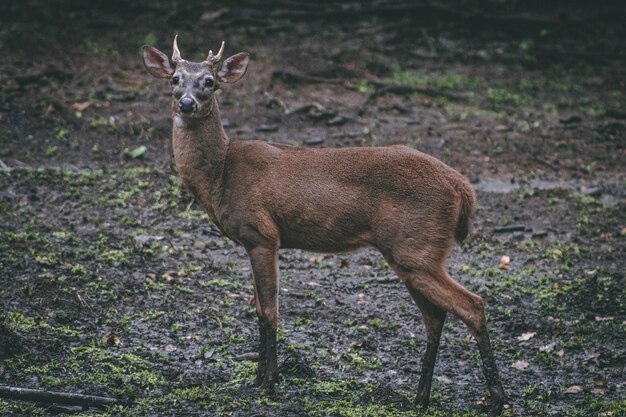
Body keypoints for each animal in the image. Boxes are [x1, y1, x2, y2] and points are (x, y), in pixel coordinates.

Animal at [141, 37, 502, 414]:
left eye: (209, 82)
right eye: (175, 79)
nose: (187, 103)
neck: (221, 176)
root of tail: (463, 188)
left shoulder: (263, 234)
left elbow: (269, 310)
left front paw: (269, 382)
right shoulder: (252, 242)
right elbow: (258, 309)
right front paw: (257, 379)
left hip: (416, 247)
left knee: (473, 305)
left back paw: (496, 398)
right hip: (414, 252)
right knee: (435, 317)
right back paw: (420, 397)